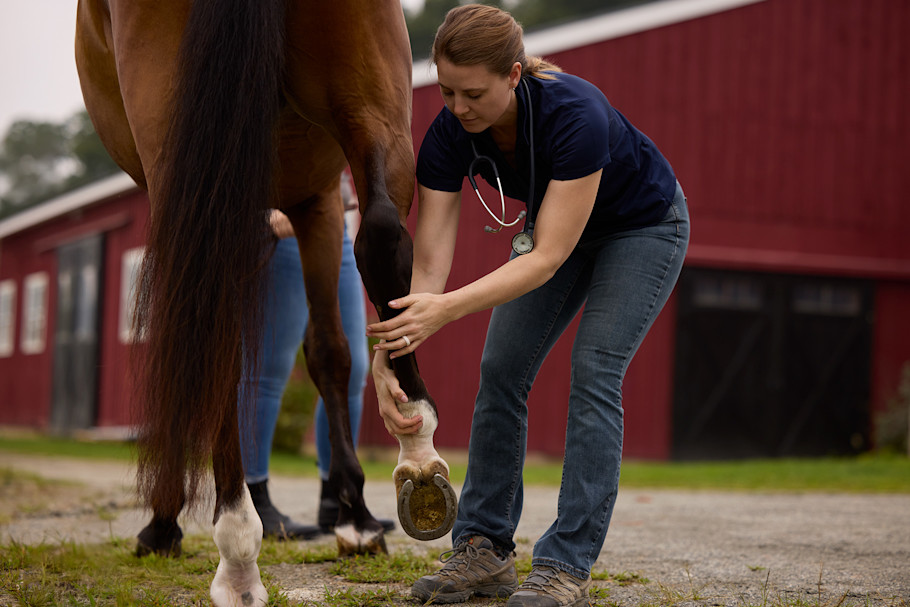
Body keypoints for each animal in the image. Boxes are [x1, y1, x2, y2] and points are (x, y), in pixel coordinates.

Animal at [75, 0, 455, 604]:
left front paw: (163, 523)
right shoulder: (315, 199)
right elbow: (329, 351)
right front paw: (356, 517)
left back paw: (236, 544)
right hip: (370, 106)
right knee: (380, 233)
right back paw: (416, 458)